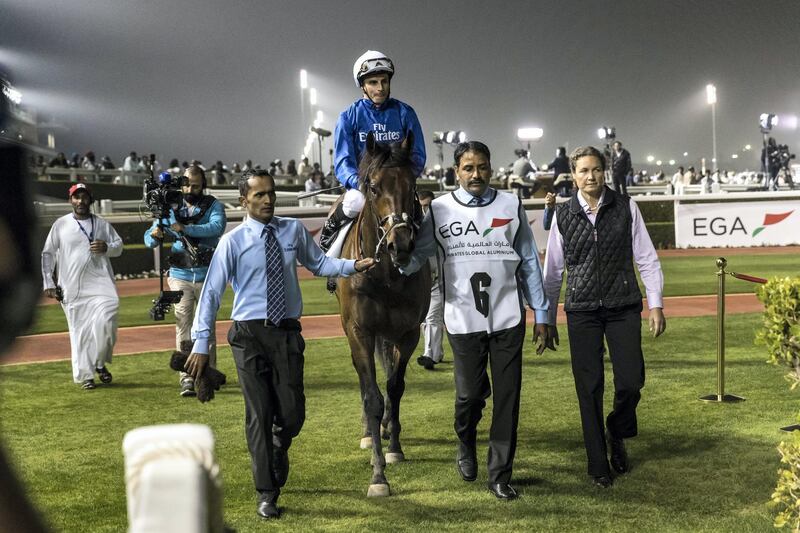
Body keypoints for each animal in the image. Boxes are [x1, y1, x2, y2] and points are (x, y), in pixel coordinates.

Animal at [334, 129, 432, 494]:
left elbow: (394, 387)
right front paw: (378, 475)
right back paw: (369, 431)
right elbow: (371, 396)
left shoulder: (408, 332)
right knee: (366, 384)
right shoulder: (359, 331)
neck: (386, 276)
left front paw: (394, 448)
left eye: (412, 184)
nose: (400, 244)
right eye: (374, 187)